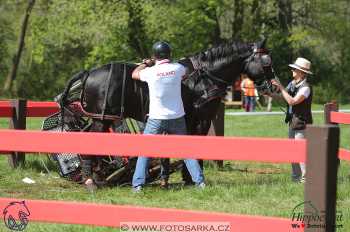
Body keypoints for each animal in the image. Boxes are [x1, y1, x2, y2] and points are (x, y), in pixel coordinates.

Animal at [57, 38, 276, 185]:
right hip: (101, 119)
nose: (273, 87)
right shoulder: (200, 119)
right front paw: (192, 177)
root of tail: (88, 73)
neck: (204, 77)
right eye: (266, 62)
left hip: (103, 119)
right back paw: (90, 180)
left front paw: (180, 176)